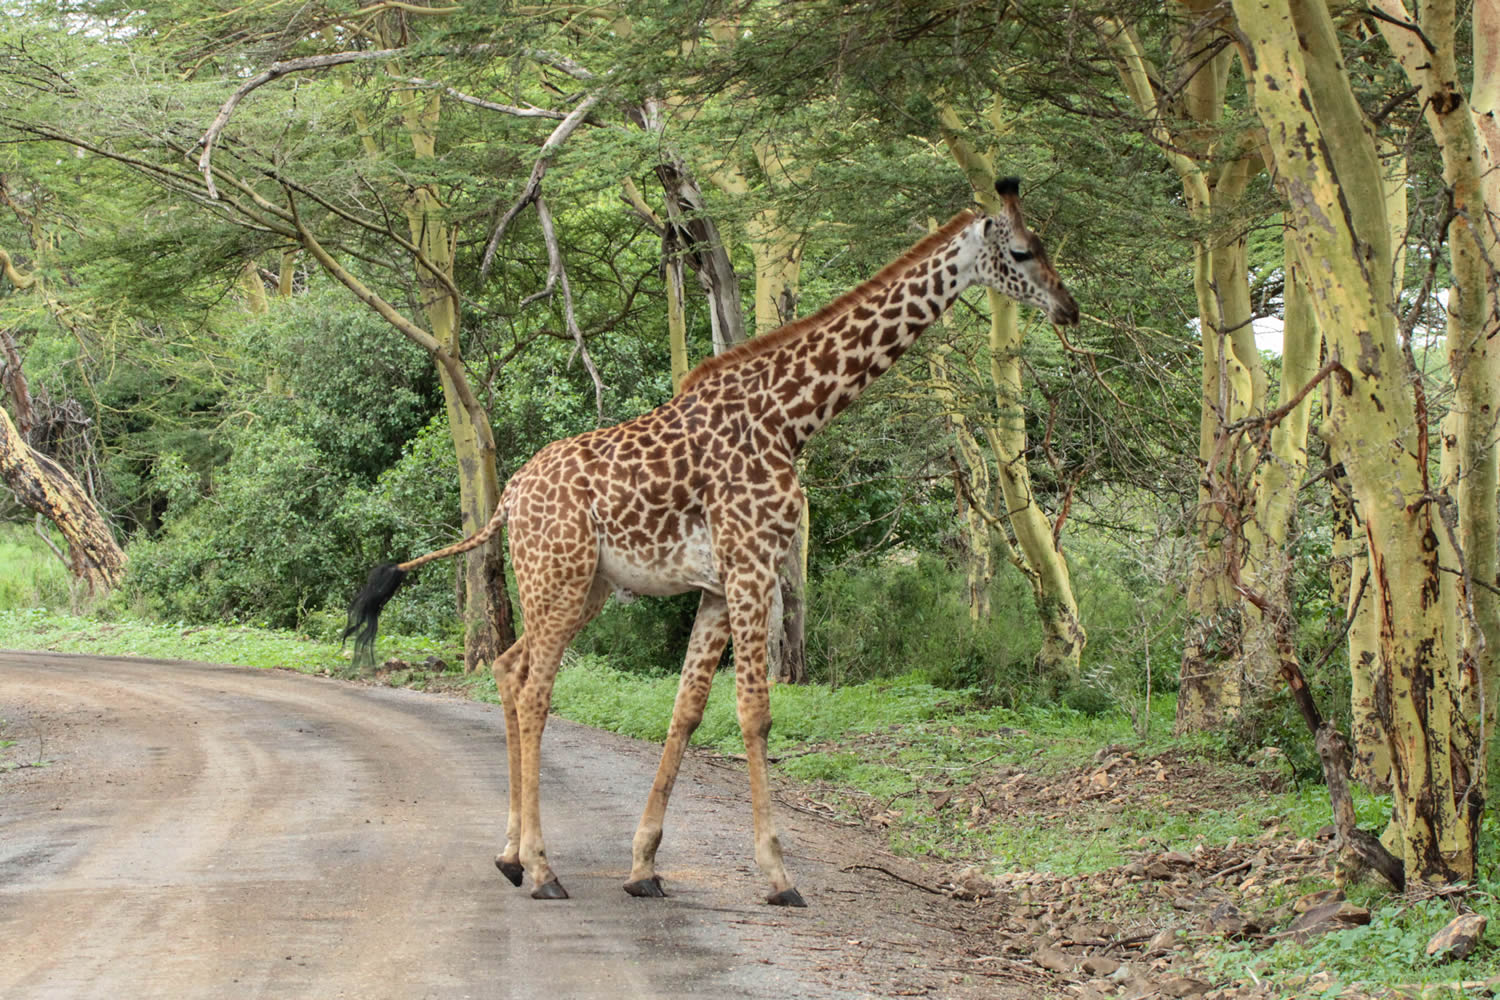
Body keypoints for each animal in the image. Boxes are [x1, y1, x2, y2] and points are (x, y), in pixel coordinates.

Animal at [348, 176, 1080, 905]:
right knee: (534, 691)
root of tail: (506, 499)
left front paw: (643, 866)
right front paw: (778, 875)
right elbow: (755, 711)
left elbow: (688, 711)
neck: (792, 416)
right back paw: (542, 867)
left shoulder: (719, 586)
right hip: (559, 576)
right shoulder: (752, 564)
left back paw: (508, 856)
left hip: (582, 586)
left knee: (507, 669)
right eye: (1022, 249)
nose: (1068, 307)